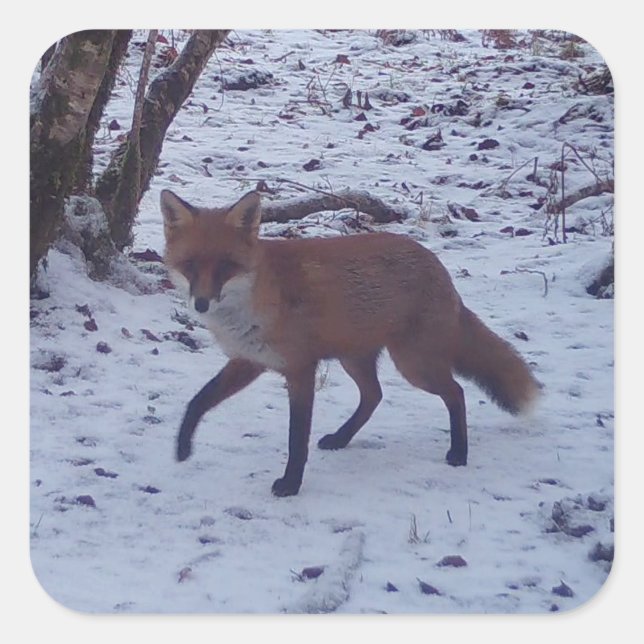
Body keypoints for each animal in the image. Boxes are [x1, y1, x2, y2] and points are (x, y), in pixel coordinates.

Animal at [161, 189, 540, 497]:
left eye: (226, 267)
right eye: (190, 265)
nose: (201, 304)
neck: (256, 300)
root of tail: (438, 265)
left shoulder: (300, 369)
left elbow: (296, 437)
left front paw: (291, 484)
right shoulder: (249, 360)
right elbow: (199, 400)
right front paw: (182, 446)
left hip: (413, 365)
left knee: (455, 392)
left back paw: (459, 452)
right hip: (355, 359)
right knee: (375, 395)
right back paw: (341, 438)